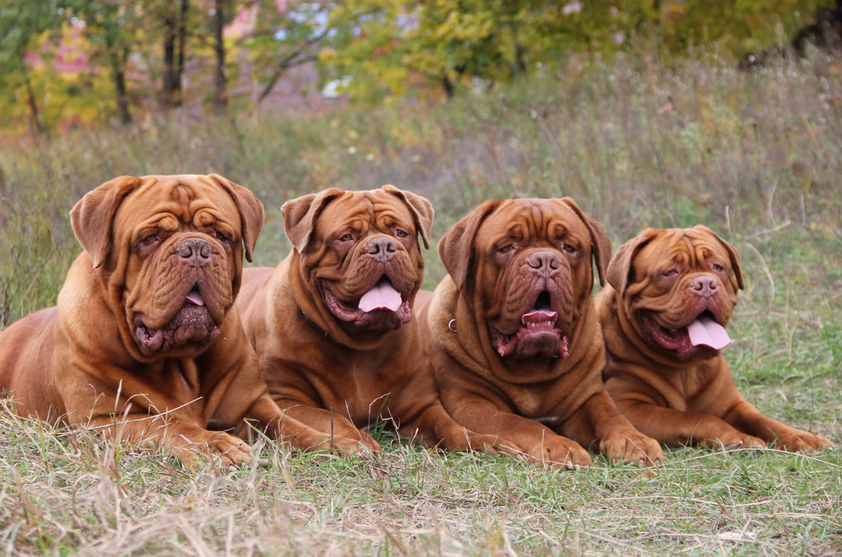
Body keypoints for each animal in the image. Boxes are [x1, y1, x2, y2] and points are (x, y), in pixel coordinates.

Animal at [0, 174, 328, 464]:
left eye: (221, 235)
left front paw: (335, 441)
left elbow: (292, 426)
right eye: (150, 238)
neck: (179, 359)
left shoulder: (252, 404)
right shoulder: (102, 421)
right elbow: (168, 424)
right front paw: (215, 445)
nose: (196, 248)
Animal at [236, 185, 498, 454]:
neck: (360, 346)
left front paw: (484, 442)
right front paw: (357, 443)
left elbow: (450, 427)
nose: (382, 245)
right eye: (346, 237)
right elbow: (333, 418)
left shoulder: (421, 407)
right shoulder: (287, 399)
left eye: (400, 232)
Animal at [416, 198, 660, 466]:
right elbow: (520, 423)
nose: (545, 261)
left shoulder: (589, 396)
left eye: (569, 247)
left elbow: (610, 415)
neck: (532, 369)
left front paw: (634, 440)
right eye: (506, 247)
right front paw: (560, 445)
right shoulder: (469, 404)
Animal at [596, 224, 832, 450]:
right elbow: (695, 418)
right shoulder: (629, 407)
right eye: (670, 271)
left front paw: (802, 437)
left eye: (717, 267)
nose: (706, 284)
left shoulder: (732, 404)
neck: (685, 370)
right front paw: (739, 437)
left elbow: (763, 420)